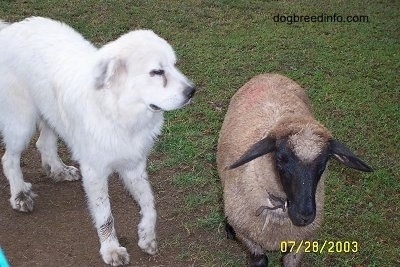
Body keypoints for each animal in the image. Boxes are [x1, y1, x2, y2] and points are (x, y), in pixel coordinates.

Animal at [0, 17, 195, 266]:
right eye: (157, 72)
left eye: (174, 65)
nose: (192, 91)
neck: (118, 112)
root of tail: (10, 28)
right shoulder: (95, 172)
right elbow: (105, 215)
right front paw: (111, 249)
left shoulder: (133, 165)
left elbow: (150, 203)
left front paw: (146, 235)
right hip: (22, 123)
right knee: (9, 159)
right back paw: (19, 196)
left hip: (50, 114)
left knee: (43, 144)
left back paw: (59, 171)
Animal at [217, 74, 374, 267]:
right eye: (280, 159)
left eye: (324, 163)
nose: (304, 215)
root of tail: (270, 74)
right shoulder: (248, 238)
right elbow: (260, 260)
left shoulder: (301, 242)